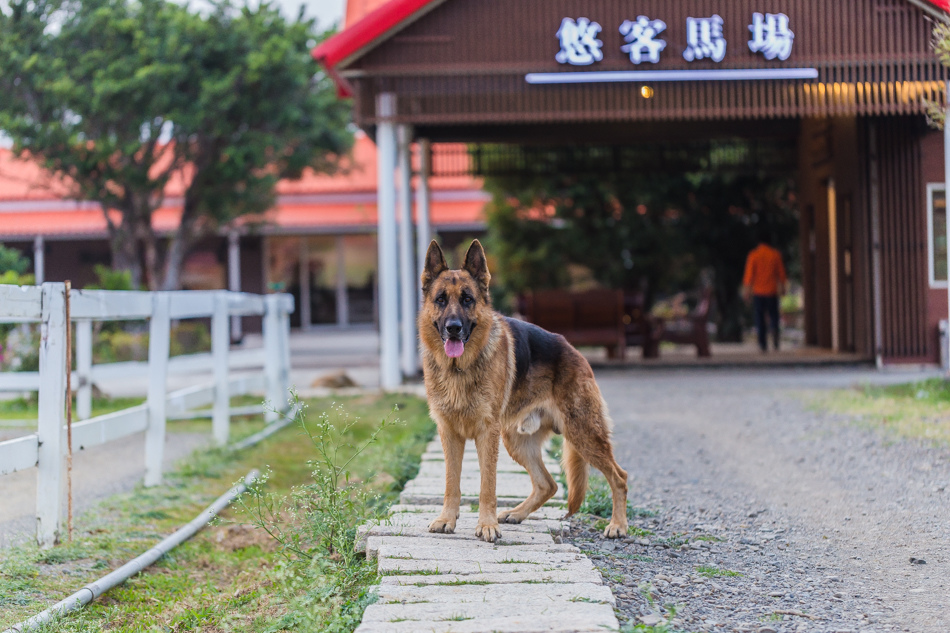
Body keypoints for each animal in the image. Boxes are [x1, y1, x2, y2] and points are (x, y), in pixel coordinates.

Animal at [418, 239, 628, 540]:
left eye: (468, 299)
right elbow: (451, 482)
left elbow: (488, 484)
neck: (458, 368)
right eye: (441, 300)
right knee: (548, 484)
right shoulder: (448, 433)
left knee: (619, 477)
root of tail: (575, 351)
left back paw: (618, 525)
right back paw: (516, 514)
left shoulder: (487, 434)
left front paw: (486, 525)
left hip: (583, 434)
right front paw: (448, 518)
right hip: (517, 441)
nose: (453, 328)